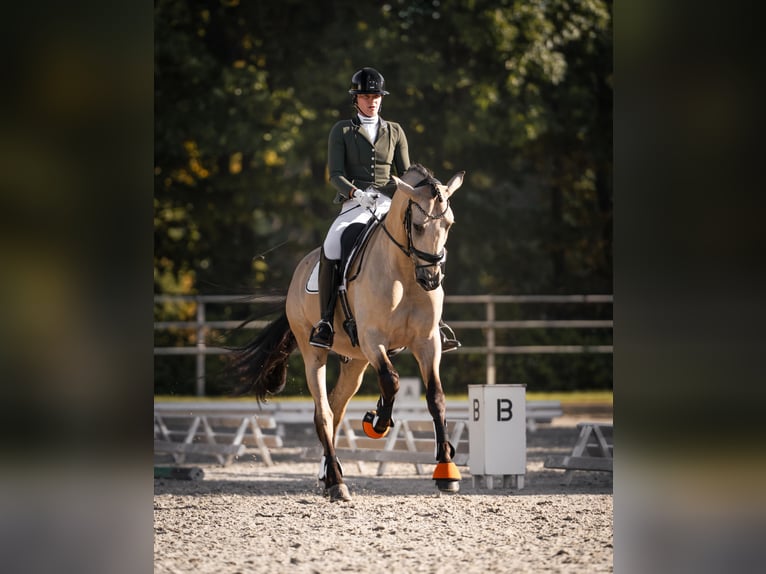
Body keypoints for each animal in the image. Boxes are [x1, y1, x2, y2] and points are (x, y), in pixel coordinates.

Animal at [230, 164, 465, 502]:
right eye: (418, 227)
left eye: (449, 224)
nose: (431, 279)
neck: (404, 273)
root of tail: (300, 269)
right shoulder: (372, 340)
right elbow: (391, 381)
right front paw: (378, 422)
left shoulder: (427, 342)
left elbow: (436, 397)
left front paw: (446, 472)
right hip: (315, 353)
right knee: (324, 413)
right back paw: (336, 482)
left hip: (355, 362)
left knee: (336, 409)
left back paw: (328, 474)